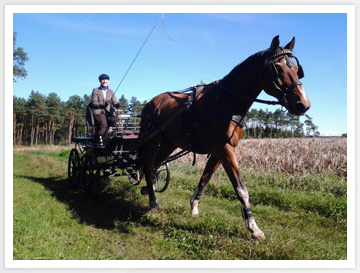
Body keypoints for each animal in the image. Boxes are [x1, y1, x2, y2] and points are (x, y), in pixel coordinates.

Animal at [137, 34, 310, 240]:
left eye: (296, 69)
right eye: (278, 68)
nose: (303, 104)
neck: (227, 102)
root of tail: (150, 104)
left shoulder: (220, 151)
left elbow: (205, 178)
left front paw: (194, 205)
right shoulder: (224, 149)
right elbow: (241, 189)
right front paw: (253, 227)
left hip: (168, 143)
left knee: (155, 166)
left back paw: (148, 189)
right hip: (152, 141)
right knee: (148, 166)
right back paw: (153, 200)